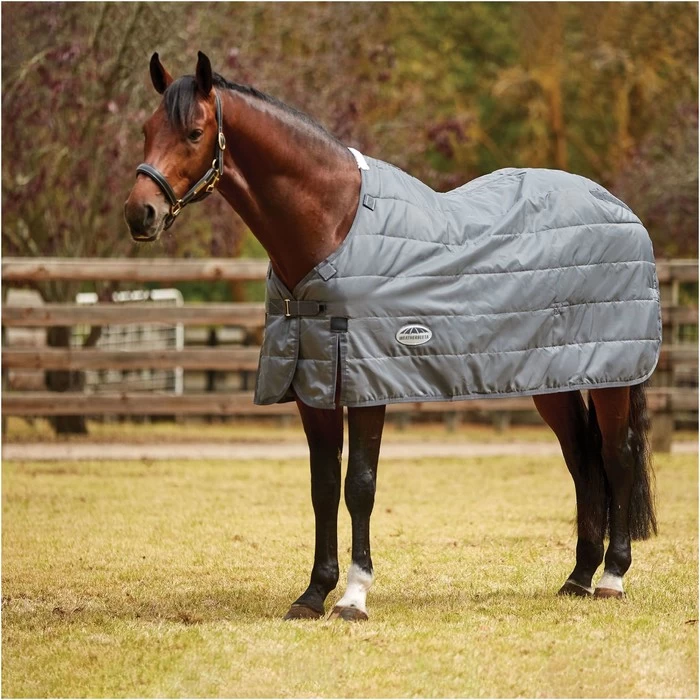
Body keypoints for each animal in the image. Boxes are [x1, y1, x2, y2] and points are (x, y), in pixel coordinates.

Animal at [124, 51, 658, 622]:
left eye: (194, 132)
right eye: (146, 130)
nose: (140, 213)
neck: (333, 226)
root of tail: (620, 208)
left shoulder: (367, 382)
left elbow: (360, 485)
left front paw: (353, 596)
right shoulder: (315, 385)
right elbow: (322, 485)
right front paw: (313, 594)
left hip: (614, 376)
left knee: (617, 456)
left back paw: (612, 577)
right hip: (555, 378)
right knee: (581, 460)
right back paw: (578, 576)